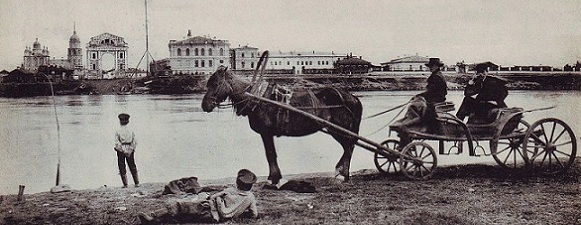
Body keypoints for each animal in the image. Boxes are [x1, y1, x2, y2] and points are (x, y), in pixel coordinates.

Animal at [202, 66, 360, 184]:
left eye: (215, 84)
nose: (205, 105)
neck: (256, 98)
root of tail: (352, 97)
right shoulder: (267, 133)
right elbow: (271, 154)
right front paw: (275, 177)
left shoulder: (266, 133)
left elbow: (270, 154)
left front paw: (273, 178)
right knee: (349, 147)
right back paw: (344, 173)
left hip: (339, 129)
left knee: (349, 147)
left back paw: (342, 173)